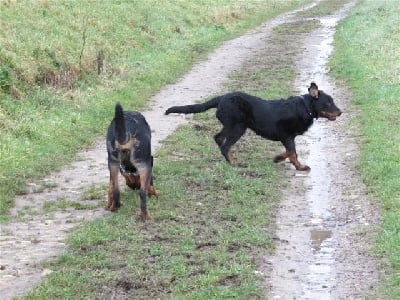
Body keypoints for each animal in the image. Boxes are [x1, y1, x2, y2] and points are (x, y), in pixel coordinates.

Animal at [166, 82, 340, 171]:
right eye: (328, 103)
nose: (340, 112)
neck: (306, 107)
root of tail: (221, 98)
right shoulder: (287, 136)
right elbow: (293, 153)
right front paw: (299, 166)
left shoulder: (287, 137)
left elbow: (289, 152)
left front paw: (277, 158)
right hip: (238, 127)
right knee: (225, 145)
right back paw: (234, 163)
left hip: (232, 125)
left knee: (218, 139)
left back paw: (229, 159)